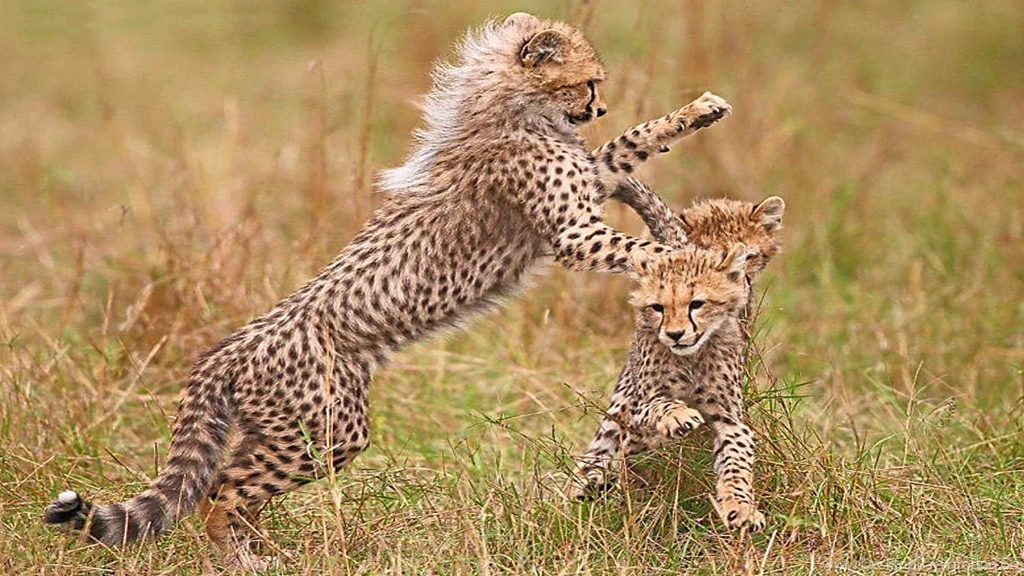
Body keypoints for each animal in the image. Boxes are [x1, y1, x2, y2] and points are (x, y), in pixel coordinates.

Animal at [42, 12, 732, 566]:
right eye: (588, 82)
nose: (597, 108)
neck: (510, 109)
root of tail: (230, 346)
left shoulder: (591, 180)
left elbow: (630, 143)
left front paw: (696, 112)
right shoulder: (571, 232)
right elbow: (646, 247)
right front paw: (698, 258)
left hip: (290, 431)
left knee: (233, 487)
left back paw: (264, 551)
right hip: (326, 430)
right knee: (221, 491)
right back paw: (243, 559)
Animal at [568, 189, 785, 533]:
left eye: (748, 257)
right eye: (659, 307)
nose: (675, 334)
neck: (691, 357)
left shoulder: (731, 419)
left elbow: (736, 462)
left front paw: (740, 508)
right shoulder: (640, 405)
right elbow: (658, 407)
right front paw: (678, 418)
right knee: (612, 442)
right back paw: (592, 482)